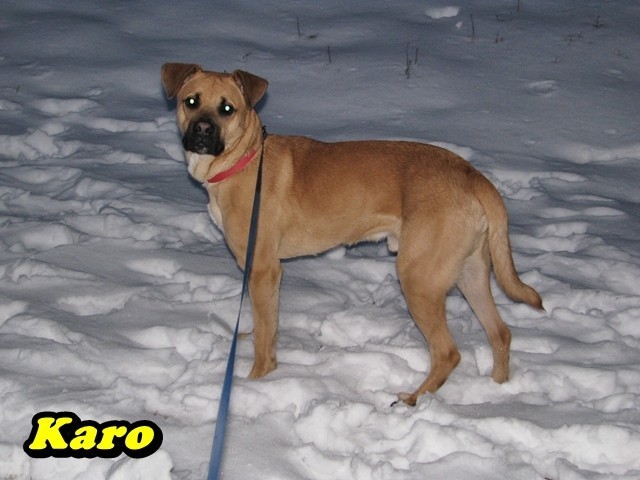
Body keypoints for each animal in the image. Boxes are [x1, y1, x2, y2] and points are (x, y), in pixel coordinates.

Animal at [160, 62, 540, 404]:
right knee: (500, 333)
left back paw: (412, 399)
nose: (202, 131)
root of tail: (473, 176)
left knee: (448, 352)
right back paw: (497, 392)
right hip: (470, 273)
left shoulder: (261, 268)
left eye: (227, 108)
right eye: (191, 101)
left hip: (418, 278)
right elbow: (269, 325)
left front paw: (258, 381)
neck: (245, 158)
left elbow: (264, 337)